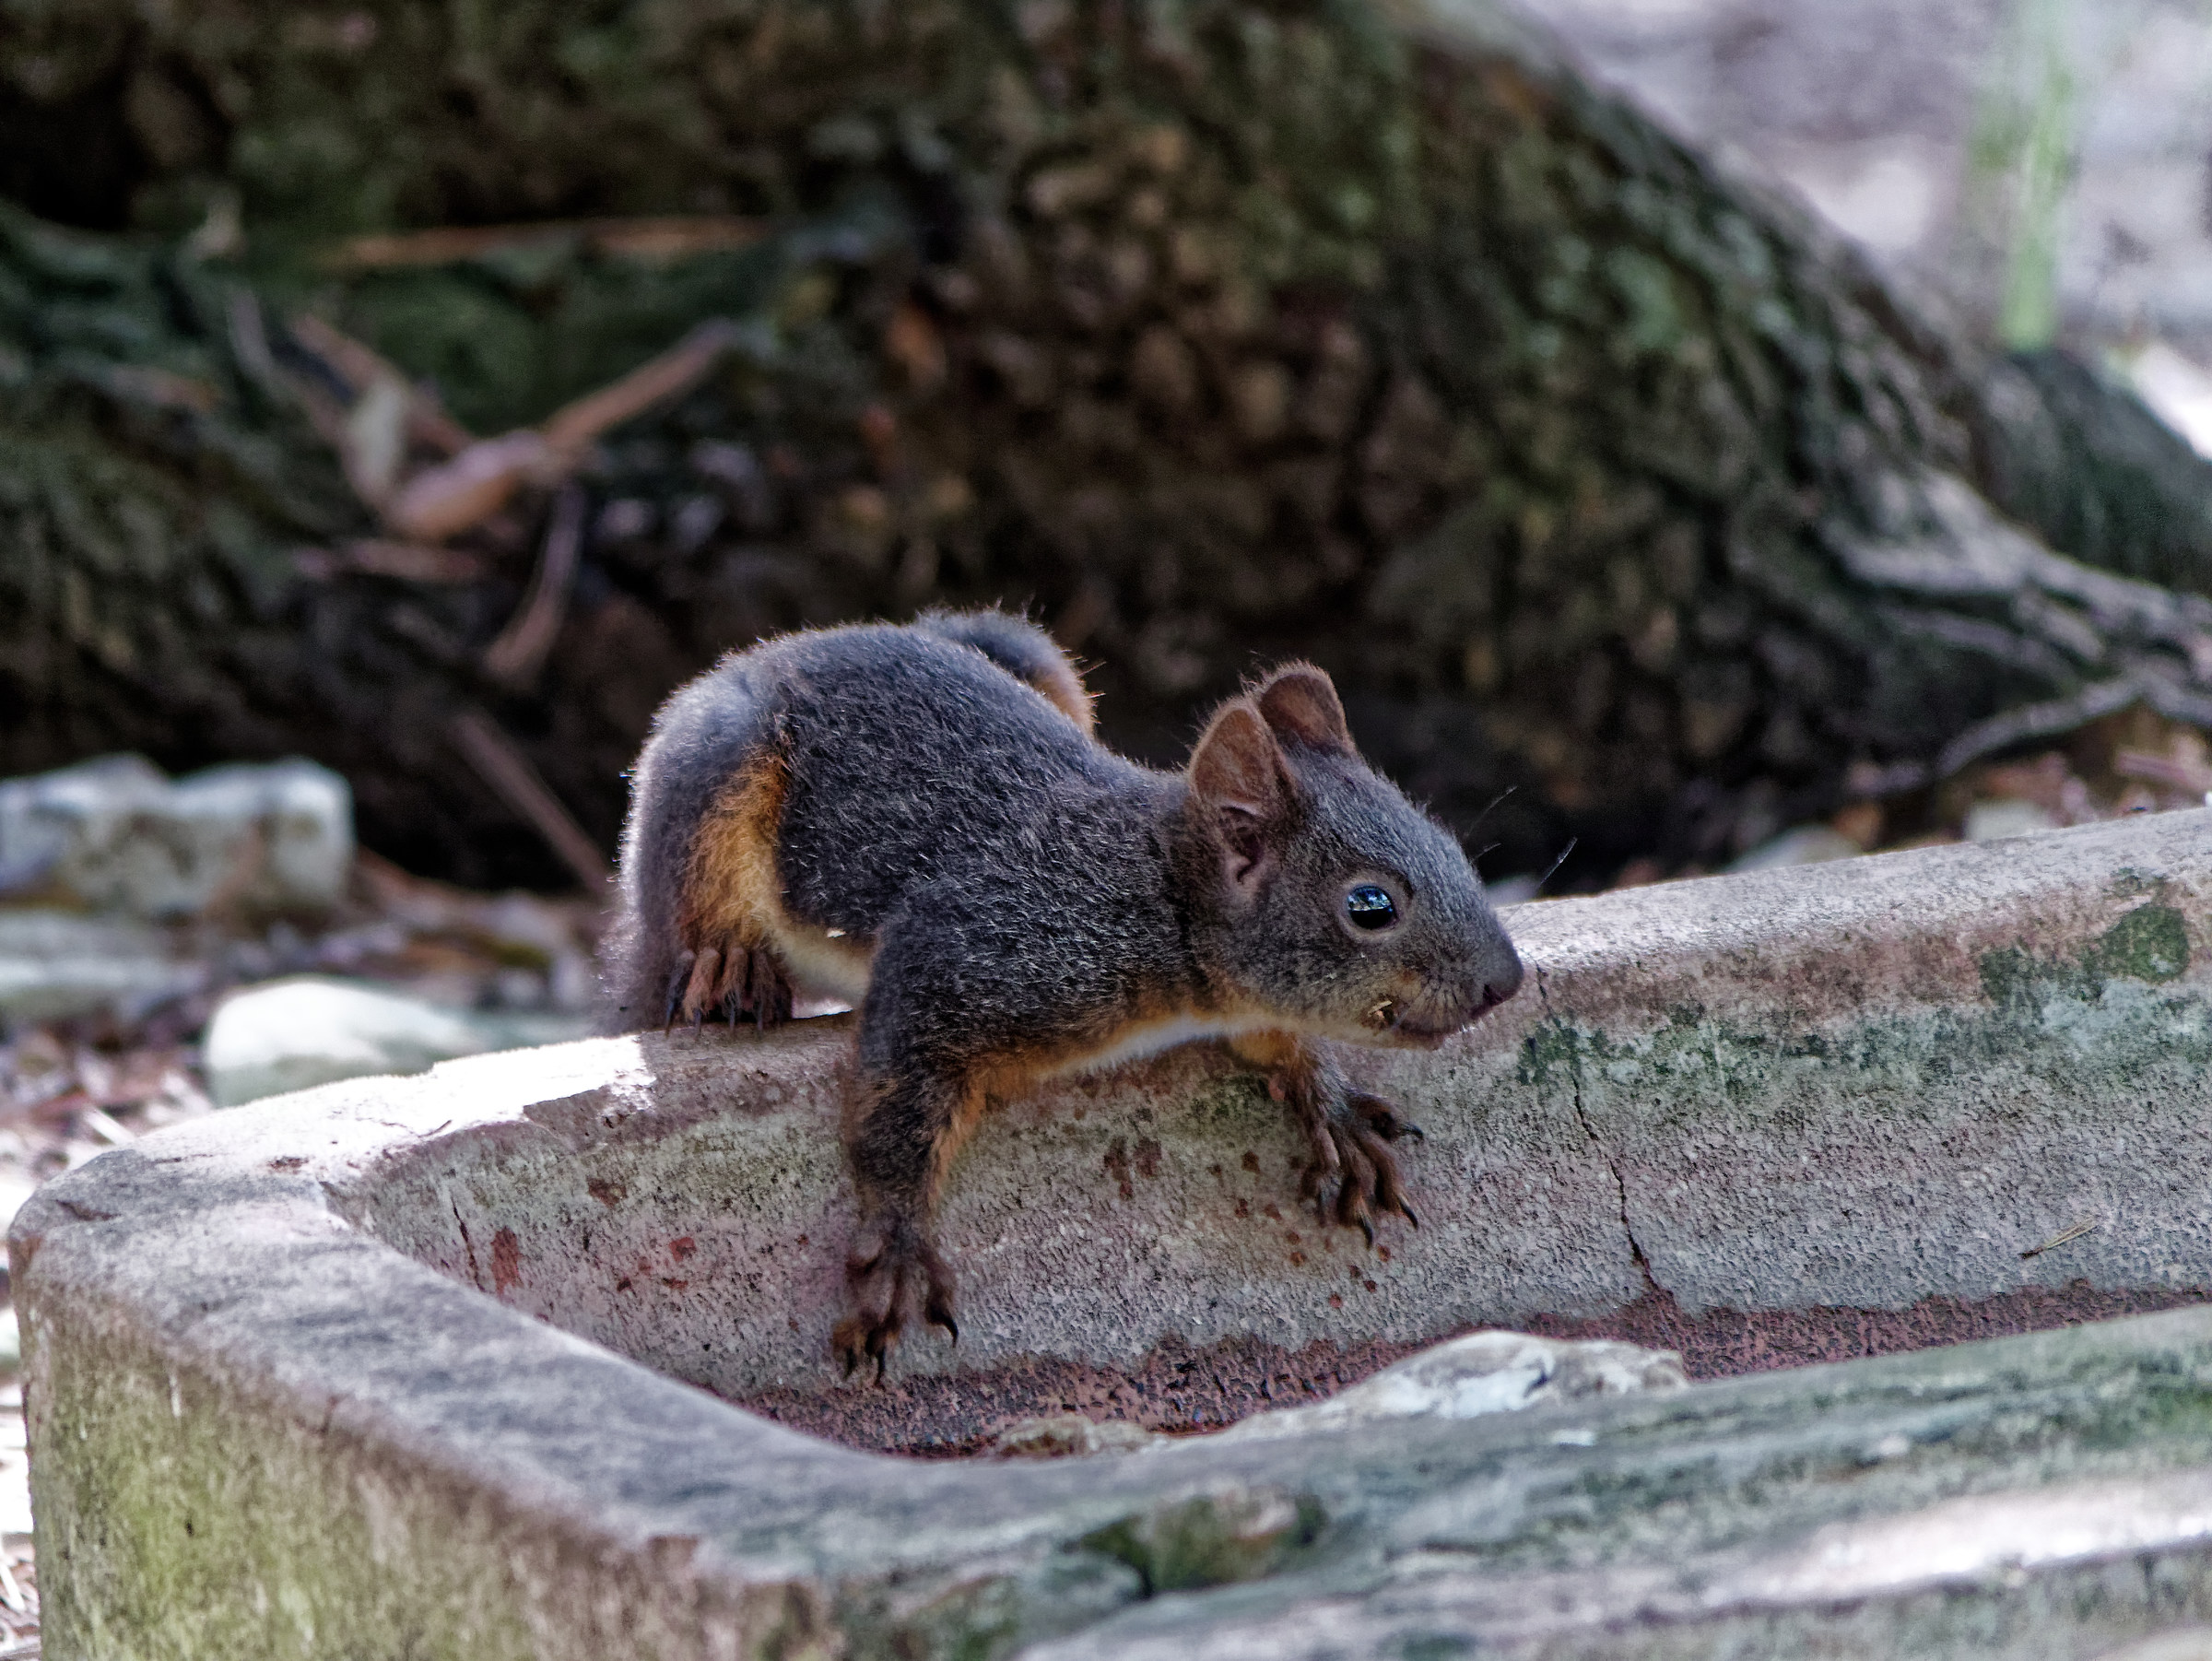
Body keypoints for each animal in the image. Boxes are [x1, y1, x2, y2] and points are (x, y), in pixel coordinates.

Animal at [605, 611, 1524, 1376]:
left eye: (1449, 841)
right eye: (1370, 906)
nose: (1506, 982)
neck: (1155, 898)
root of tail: (762, 656)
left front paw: (1328, 1102)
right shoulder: (965, 954)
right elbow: (897, 1101)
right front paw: (898, 1240)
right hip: (718, 775)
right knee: (690, 910)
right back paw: (726, 962)